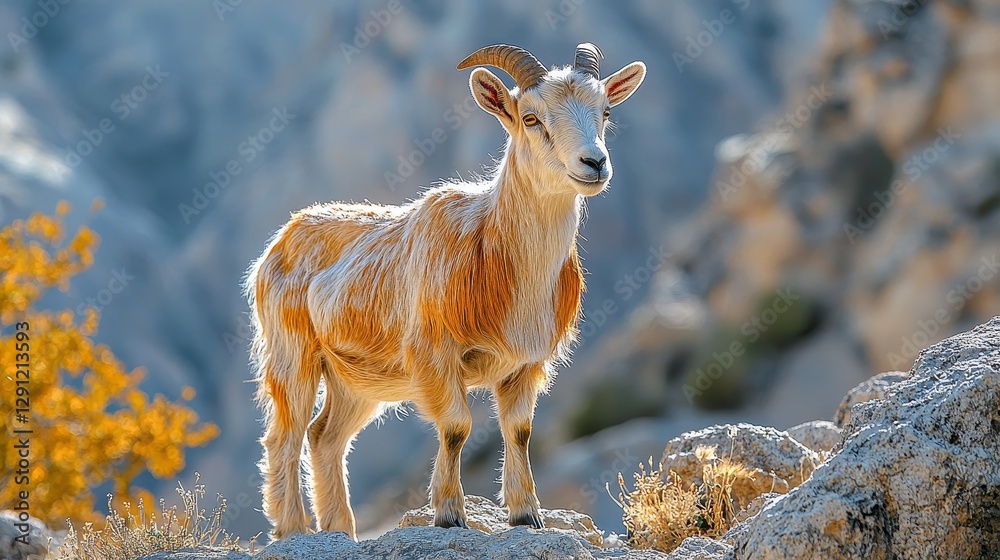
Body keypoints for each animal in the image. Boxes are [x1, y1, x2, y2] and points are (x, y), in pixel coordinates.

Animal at [246, 43, 646, 541]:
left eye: (606, 111)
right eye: (531, 117)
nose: (594, 163)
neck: (493, 250)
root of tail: (279, 242)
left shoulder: (525, 364)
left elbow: (519, 430)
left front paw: (526, 515)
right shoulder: (435, 354)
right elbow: (456, 427)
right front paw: (450, 514)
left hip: (356, 379)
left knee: (325, 437)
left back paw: (340, 530)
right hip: (293, 354)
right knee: (285, 434)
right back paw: (294, 530)